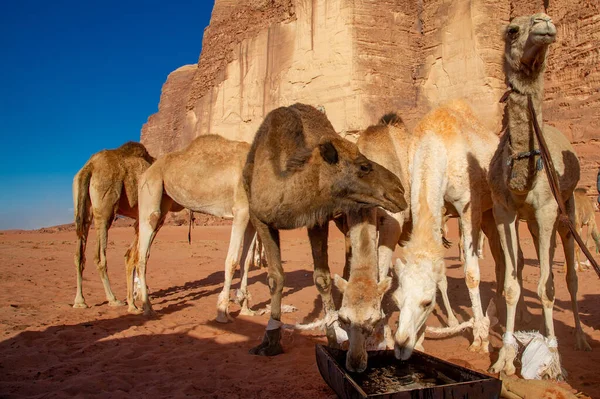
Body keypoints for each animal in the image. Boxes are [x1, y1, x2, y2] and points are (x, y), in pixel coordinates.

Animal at [132, 134, 256, 322]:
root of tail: (146, 172)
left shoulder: (253, 219)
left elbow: (246, 260)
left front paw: (246, 309)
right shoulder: (241, 210)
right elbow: (232, 260)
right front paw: (223, 312)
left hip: (164, 200)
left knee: (143, 250)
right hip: (151, 188)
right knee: (142, 251)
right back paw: (148, 308)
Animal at [244, 103, 408, 356]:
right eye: (364, 166)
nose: (399, 189)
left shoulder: (317, 218)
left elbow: (322, 278)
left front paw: (333, 338)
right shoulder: (260, 218)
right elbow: (275, 278)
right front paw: (269, 341)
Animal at [490, 13, 592, 382]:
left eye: (544, 20)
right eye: (511, 30)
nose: (545, 22)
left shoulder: (549, 211)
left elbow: (547, 289)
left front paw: (552, 358)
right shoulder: (504, 211)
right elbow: (511, 284)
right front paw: (505, 358)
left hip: (568, 212)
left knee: (570, 278)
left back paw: (580, 339)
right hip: (533, 223)